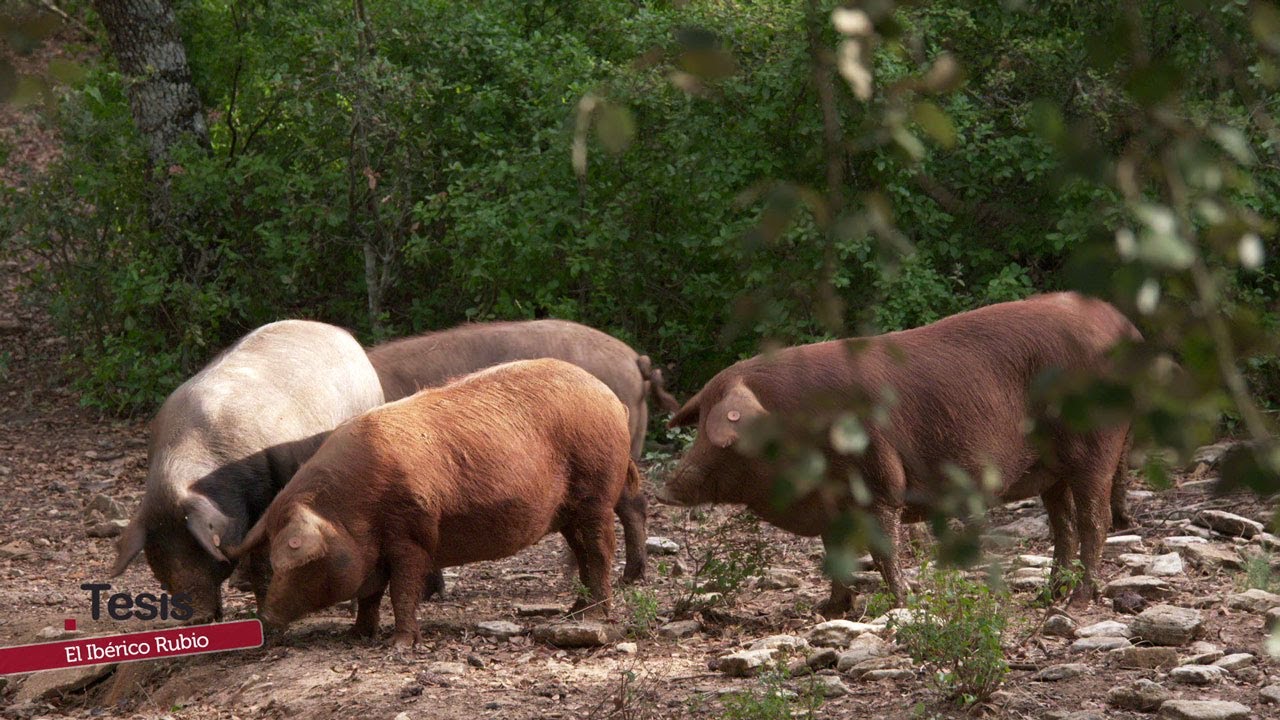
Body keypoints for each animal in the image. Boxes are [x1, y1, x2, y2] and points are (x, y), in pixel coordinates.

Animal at [228, 359, 638, 647]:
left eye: (291, 563)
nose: (267, 618)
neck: (351, 511)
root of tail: (614, 401)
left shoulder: (410, 535)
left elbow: (402, 591)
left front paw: (399, 646)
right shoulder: (374, 554)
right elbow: (370, 595)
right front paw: (356, 635)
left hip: (596, 492)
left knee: (600, 550)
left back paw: (594, 617)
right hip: (569, 512)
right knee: (582, 553)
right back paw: (574, 612)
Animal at [658, 293, 1140, 613]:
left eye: (722, 436)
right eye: (699, 426)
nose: (667, 488)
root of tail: (1124, 326)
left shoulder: (879, 481)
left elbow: (883, 548)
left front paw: (902, 602)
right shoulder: (832, 506)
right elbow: (834, 553)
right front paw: (830, 610)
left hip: (1097, 447)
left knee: (1094, 522)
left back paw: (1076, 602)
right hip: (1051, 468)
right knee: (1063, 526)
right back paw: (1048, 595)